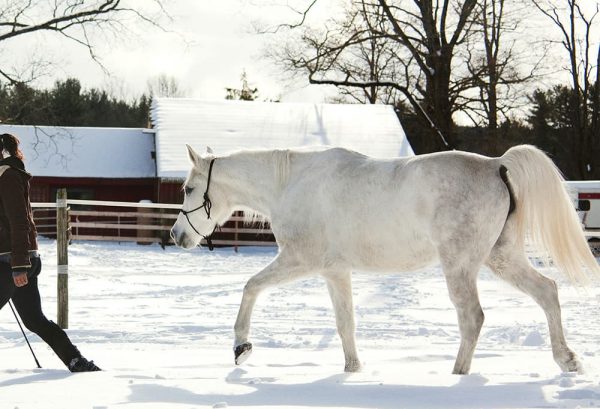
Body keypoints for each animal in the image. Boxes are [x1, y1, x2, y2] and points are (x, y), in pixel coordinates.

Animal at [171, 143, 596, 372]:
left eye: (189, 188)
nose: (176, 236)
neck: (289, 184)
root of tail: (496, 164)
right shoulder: (335, 272)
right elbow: (346, 324)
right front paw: (352, 370)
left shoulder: (299, 261)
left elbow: (251, 287)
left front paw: (241, 348)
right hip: (501, 258)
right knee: (547, 291)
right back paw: (568, 360)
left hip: (461, 266)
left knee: (473, 318)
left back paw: (457, 374)